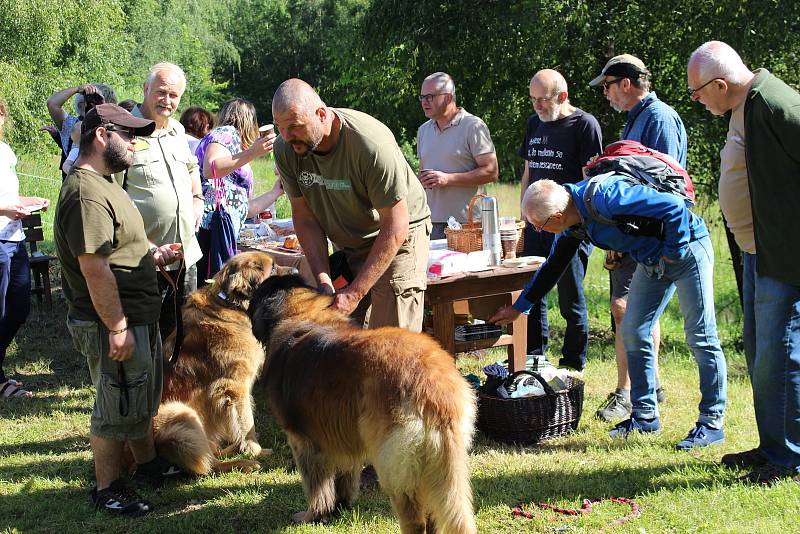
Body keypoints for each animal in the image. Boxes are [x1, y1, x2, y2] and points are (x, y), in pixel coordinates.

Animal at [153, 253, 294, 476]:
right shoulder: (235, 387)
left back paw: (233, 450)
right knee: (209, 465)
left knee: (211, 452)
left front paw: (247, 447)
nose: (297, 272)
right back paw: (243, 463)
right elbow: (247, 421)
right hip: (180, 416)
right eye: (272, 269)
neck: (230, 304)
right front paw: (255, 450)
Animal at [248, 276, 476, 534]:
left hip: (396, 466)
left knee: (414, 517)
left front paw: (312, 516)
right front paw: (339, 507)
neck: (300, 313)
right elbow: (344, 476)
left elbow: (316, 488)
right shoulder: (342, 436)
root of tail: (433, 387)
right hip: (435, 462)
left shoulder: (304, 441)